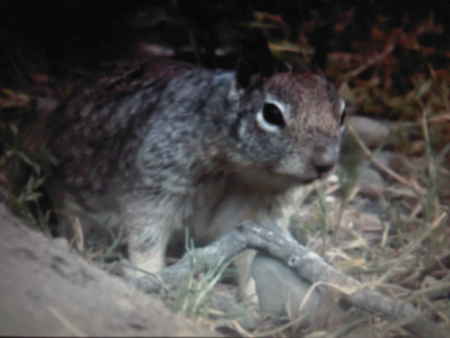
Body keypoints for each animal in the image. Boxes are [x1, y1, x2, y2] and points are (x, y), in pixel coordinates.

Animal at [47, 56, 346, 300]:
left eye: (342, 114)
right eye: (271, 113)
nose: (325, 164)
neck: (244, 169)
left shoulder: (259, 218)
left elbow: (248, 257)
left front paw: (250, 296)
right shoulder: (155, 189)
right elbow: (147, 240)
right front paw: (147, 277)